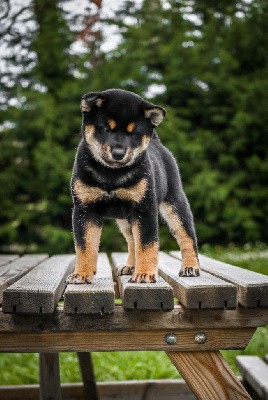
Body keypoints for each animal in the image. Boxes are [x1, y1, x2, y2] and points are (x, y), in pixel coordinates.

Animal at [66, 88, 200, 284]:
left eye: (133, 133)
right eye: (106, 129)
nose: (118, 153)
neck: (111, 174)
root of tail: (158, 143)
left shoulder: (145, 209)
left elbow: (146, 244)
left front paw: (144, 274)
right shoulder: (85, 209)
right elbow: (85, 247)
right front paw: (82, 274)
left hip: (175, 205)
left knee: (187, 237)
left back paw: (190, 267)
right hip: (125, 219)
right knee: (131, 241)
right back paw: (130, 266)